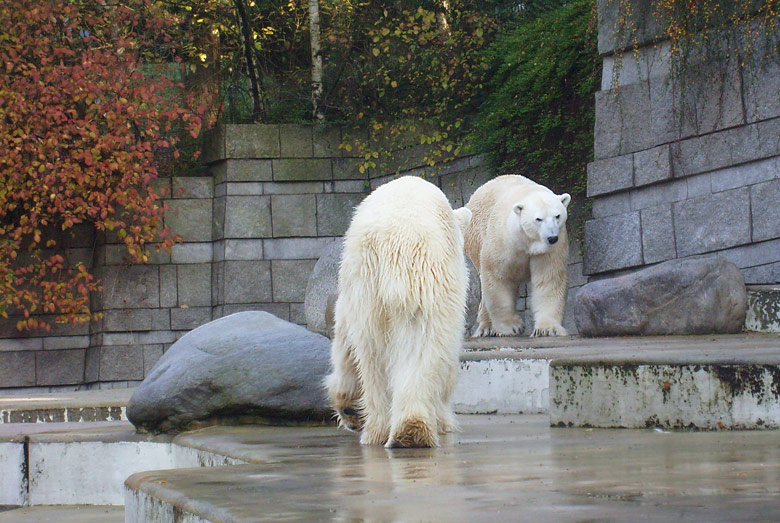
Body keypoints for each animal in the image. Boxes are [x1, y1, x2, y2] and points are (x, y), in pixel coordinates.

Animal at [322, 178, 470, 448]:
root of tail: (396, 238)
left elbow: (346, 350)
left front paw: (349, 408)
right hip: (417, 279)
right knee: (408, 346)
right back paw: (402, 430)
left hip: (370, 285)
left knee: (376, 352)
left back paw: (392, 430)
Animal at [466, 176, 568, 338]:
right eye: (538, 219)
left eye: (557, 216)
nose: (552, 237)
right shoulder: (502, 240)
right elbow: (497, 278)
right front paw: (512, 327)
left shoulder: (551, 249)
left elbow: (548, 279)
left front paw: (547, 329)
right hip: (475, 237)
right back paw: (486, 329)